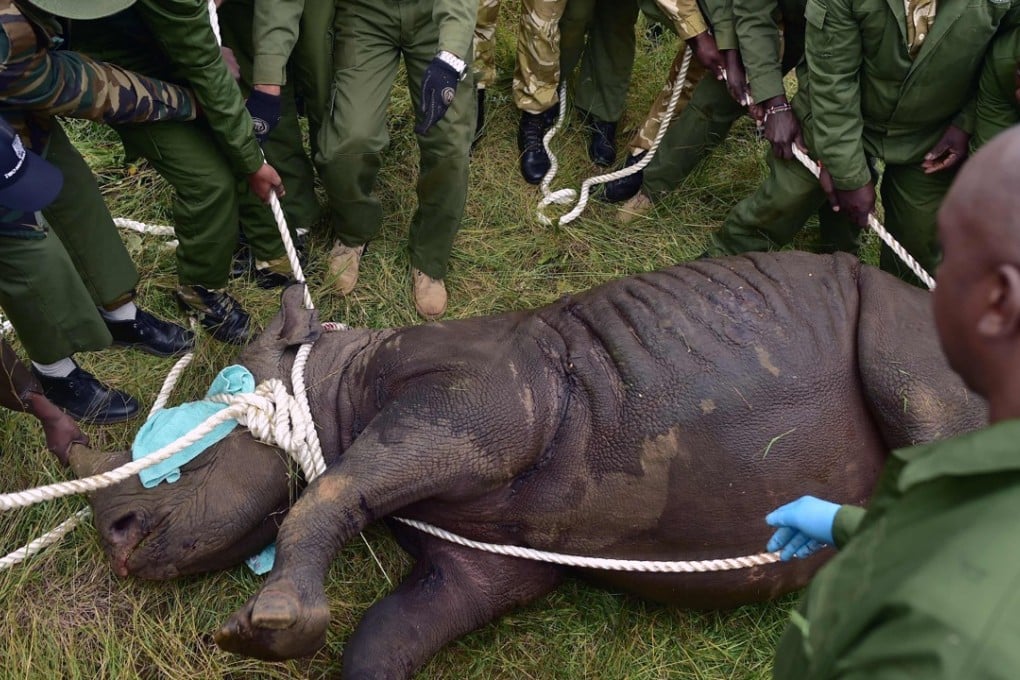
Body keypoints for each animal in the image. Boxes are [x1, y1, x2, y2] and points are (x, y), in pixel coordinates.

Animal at [68, 252, 983, 678]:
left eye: (190, 450)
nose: (114, 539)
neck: (333, 385)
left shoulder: (488, 401)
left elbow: (328, 489)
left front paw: (265, 626)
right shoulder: (481, 561)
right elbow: (389, 629)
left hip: (902, 316)